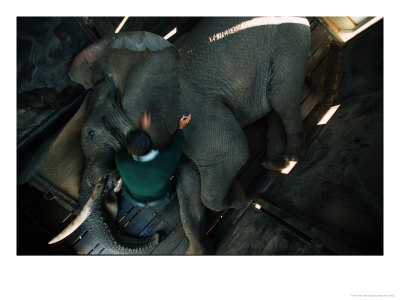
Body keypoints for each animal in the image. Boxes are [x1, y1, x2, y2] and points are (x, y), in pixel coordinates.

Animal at [50, 16, 310, 254]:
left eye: (91, 133)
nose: (157, 236)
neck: (122, 84)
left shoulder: (187, 109)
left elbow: (232, 153)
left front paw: (239, 198)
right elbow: (188, 179)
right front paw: (199, 252)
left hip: (289, 39)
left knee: (282, 99)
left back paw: (293, 158)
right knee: (273, 104)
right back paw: (273, 163)